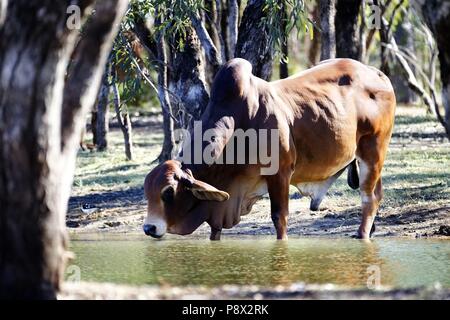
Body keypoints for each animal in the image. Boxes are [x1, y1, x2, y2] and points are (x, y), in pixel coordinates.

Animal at [142, 59, 396, 240]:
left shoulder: (280, 173)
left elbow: (279, 218)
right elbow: (216, 230)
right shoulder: (222, 201)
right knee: (378, 193)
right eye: (147, 192)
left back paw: (362, 235)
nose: (148, 228)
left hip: (373, 150)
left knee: (368, 197)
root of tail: (379, 74)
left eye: (168, 192)